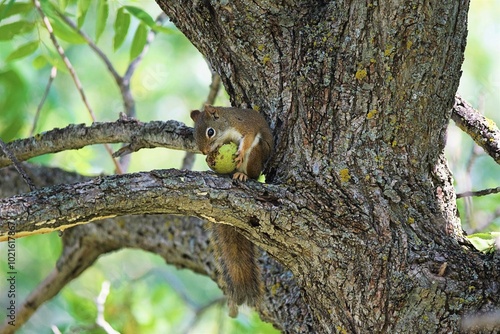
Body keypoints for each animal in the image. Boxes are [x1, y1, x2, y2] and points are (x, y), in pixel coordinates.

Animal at [189, 105, 274, 318]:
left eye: (210, 132)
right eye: (193, 134)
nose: (204, 151)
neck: (226, 125)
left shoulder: (245, 126)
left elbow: (248, 138)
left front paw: (240, 151)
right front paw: (209, 158)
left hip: (256, 157)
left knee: (250, 167)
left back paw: (243, 175)